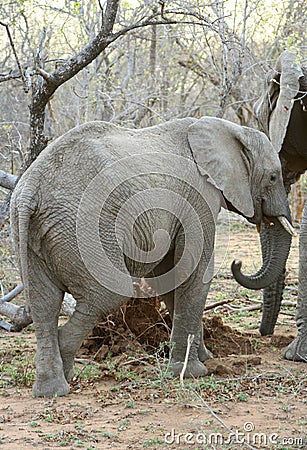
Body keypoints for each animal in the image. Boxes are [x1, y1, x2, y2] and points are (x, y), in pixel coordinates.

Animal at [10, 114, 294, 396]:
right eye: (273, 177)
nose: (238, 263)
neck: (230, 129)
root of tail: (30, 191)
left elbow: (171, 277)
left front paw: (205, 358)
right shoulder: (198, 196)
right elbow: (193, 272)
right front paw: (191, 372)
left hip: (33, 235)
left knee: (44, 305)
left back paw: (51, 390)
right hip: (85, 230)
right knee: (108, 294)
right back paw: (64, 372)